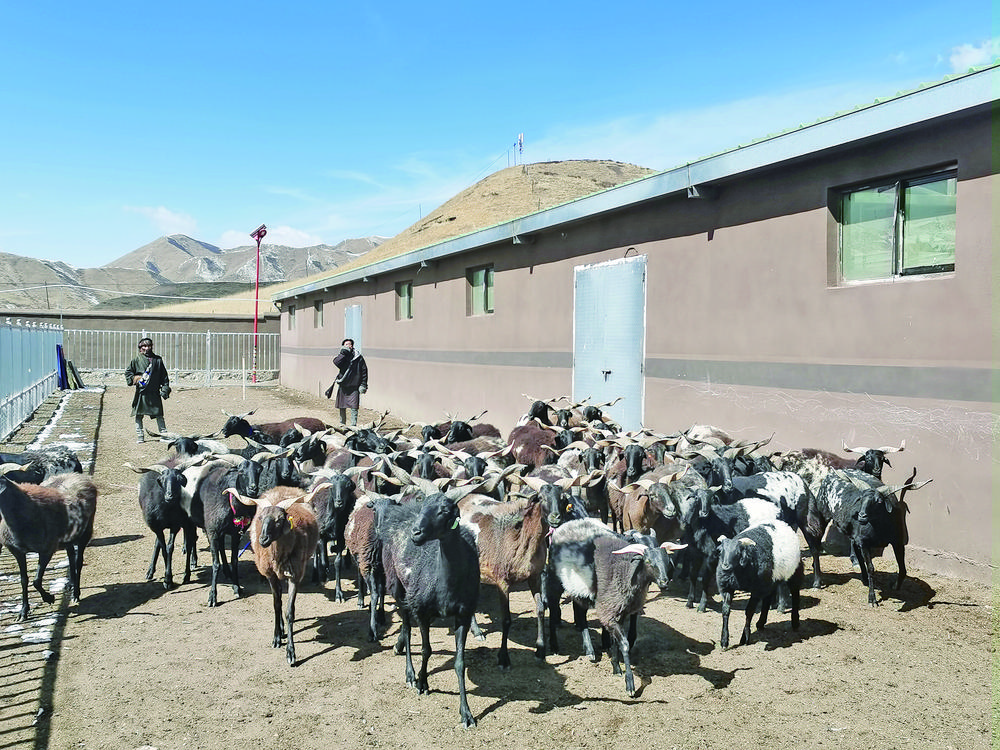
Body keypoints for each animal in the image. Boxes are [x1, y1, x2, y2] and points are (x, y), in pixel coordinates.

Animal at [0, 466, 98, 621]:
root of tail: (78, 476)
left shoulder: (46, 549)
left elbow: (36, 580)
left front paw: (49, 598)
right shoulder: (18, 552)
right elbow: (24, 580)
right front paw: (23, 612)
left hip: (85, 532)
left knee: (78, 562)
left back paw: (76, 593)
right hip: (67, 538)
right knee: (71, 556)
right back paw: (71, 584)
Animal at [226, 483, 327, 666]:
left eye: (279, 520)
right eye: (260, 518)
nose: (263, 540)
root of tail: (284, 486)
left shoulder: (295, 575)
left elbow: (289, 611)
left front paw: (291, 653)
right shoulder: (270, 575)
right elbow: (276, 605)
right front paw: (277, 638)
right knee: (278, 598)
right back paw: (280, 630)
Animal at [378, 489, 481, 728]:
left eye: (444, 511)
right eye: (425, 507)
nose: (416, 533)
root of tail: (404, 511)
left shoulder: (463, 615)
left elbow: (460, 663)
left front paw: (466, 713)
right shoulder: (422, 610)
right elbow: (426, 650)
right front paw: (422, 683)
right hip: (398, 587)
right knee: (407, 629)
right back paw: (410, 674)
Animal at [716, 520, 805, 648]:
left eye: (737, 552)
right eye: (722, 551)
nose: (725, 567)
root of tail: (783, 524)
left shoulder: (757, 589)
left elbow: (749, 611)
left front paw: (745, 638)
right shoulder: (728, 587)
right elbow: (726, 610)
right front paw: (724, 641)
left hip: (794, 572)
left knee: (795, 594)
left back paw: (795, 622)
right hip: (770, 579)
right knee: (768, 598)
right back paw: (761, 623)